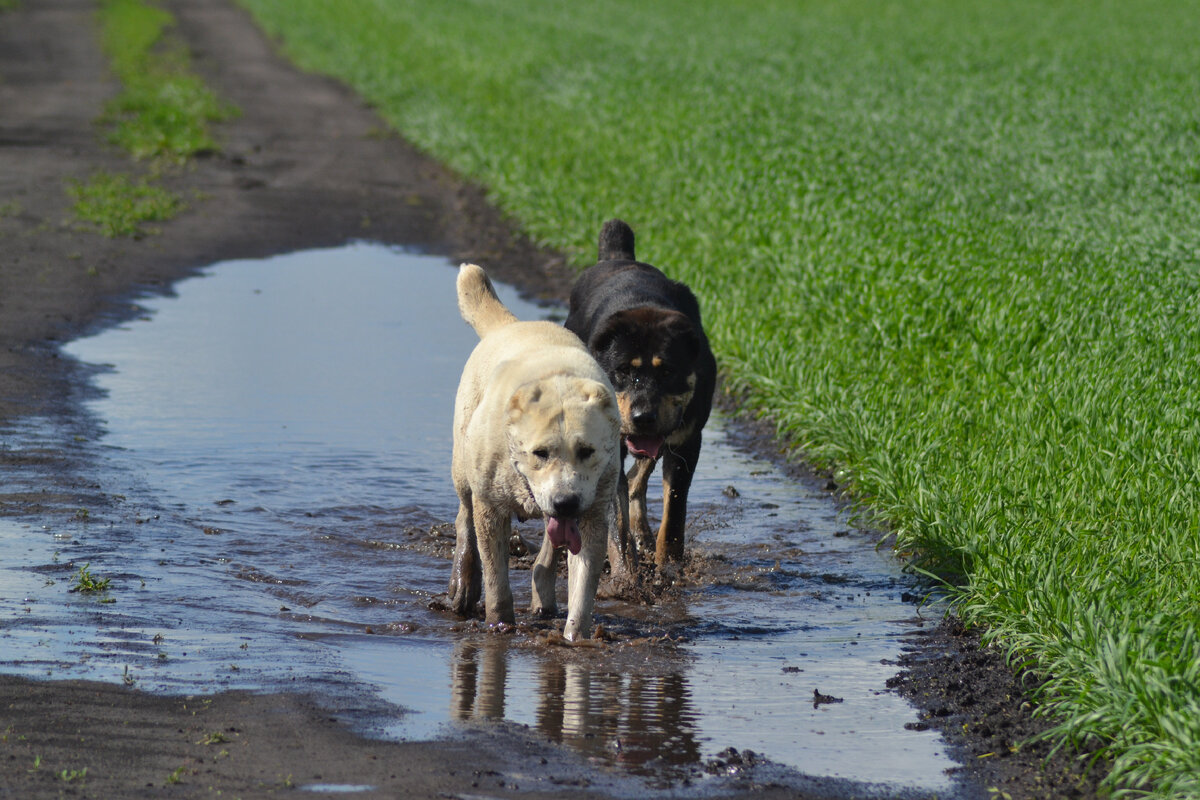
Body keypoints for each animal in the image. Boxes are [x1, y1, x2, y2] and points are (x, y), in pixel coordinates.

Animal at [448, 266, 619, 642]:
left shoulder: (593, 513)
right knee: (464, 517)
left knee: (548, 552)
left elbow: (583, 585)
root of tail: (509, 325)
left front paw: (574, 639)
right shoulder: (489, 507)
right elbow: (496, 577)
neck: (557, 381)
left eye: (587, 451)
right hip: (463, 466)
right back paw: (463, 584)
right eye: (540, 452)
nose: (566, 501)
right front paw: (499, 625)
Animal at [561, 219, 710, 568]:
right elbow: (616, 516)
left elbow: (674, 512)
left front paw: (668, 565)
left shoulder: (686, 440)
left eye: (667, 371)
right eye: (623, 371)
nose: (643, 416)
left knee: (638, 477)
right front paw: (625, 566)